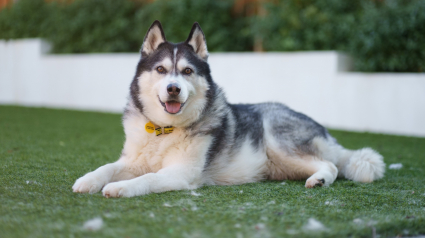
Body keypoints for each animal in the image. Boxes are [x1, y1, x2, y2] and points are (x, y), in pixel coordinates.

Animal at [72, 20, 384, 198]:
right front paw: (88, 180)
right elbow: (107, 167)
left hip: (280, 142)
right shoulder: (132, 160)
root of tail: (324, 131)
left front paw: (120, 188)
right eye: (161, 69)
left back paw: (319, 179)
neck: (163, 130)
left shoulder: (181, 172)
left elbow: (147, 178)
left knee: (332, 165)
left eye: (187, 71)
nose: (173, 88)